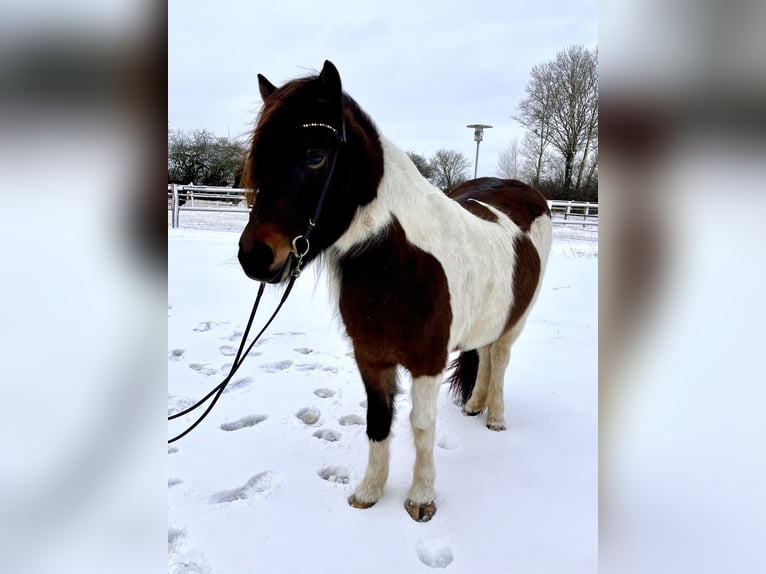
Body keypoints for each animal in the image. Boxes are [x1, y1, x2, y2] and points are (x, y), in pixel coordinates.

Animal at [237, 61, 552, 522]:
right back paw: (474, 406)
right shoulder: (371, 357)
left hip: (517, 322)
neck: (400, 262)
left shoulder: (427, 362)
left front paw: (421, 499)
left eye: (315, 156)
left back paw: (495, 417)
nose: (255, 257)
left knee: (500, 359)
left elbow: (421, 425)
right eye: (259, 161)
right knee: (485, 353)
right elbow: (378, 421)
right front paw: (368, 493)